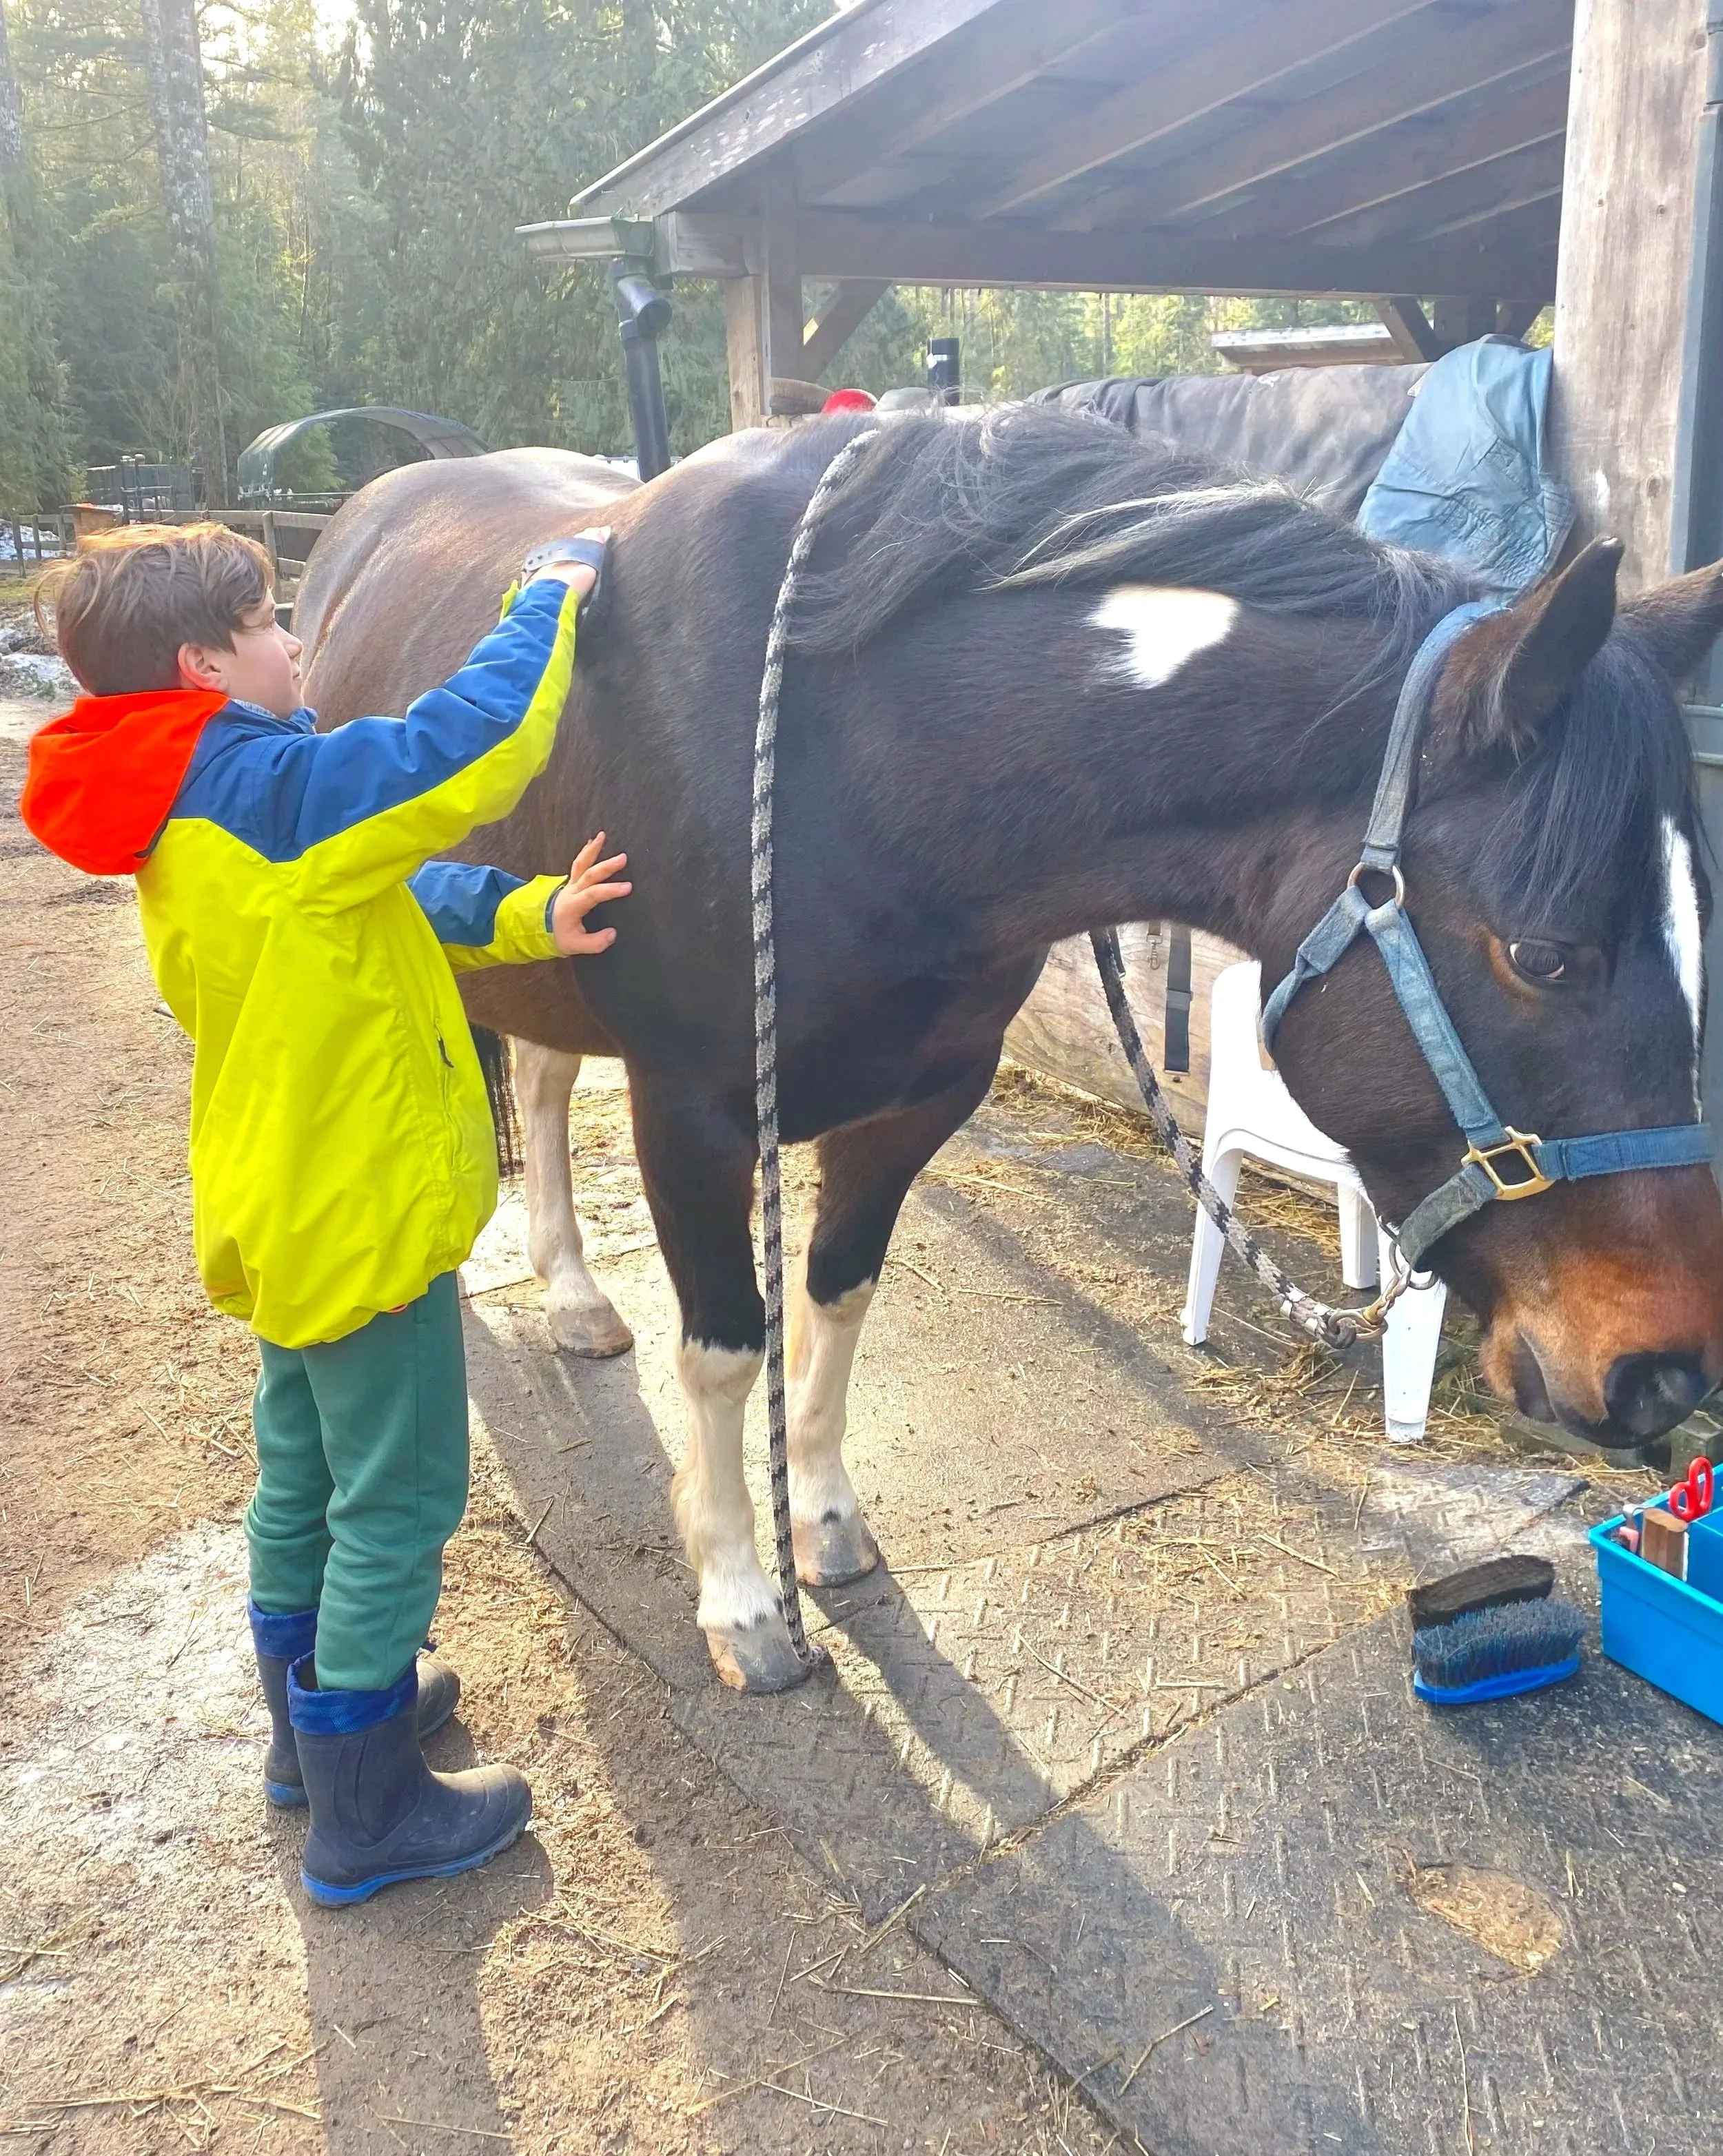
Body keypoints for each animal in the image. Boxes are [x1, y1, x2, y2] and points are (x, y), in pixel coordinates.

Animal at [296, 405, 1723, 1694]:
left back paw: (579, 1299)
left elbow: (835, 1298)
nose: (1667, 1372)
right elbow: (728, 1345)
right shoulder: (693, 1106)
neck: (856, 751)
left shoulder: (919, 1102)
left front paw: (822, 1524)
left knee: (540, 1076)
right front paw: (744, 1599)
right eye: (1547, 953)